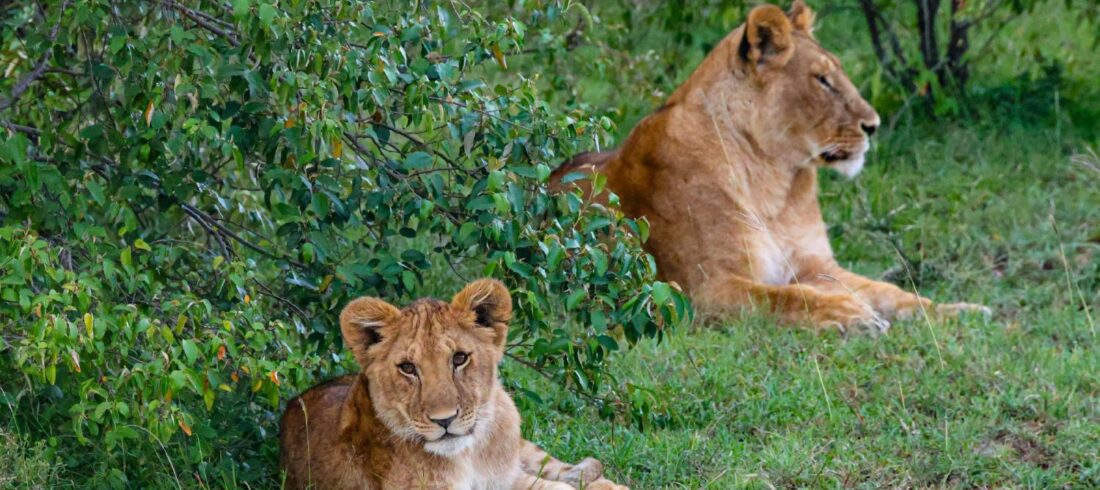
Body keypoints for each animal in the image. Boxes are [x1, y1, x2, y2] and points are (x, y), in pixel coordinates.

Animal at [279, 278, 628, 489]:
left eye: (459, 359)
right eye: (408, 368)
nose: (444, 420)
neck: (468, 458)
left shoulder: (507, 478)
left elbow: (553, 484)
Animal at [550, 1, 989, 332]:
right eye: (822, 80)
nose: (874, 125)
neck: (774, 179)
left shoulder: (818, 265)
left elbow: (889, 292)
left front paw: (959, 312)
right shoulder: (700, 290)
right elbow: (782, 298)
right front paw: (849, 314)